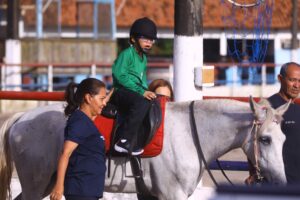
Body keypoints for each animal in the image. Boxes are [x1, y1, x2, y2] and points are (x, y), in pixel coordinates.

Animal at [0, 98, 290, 200]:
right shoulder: (171, 195)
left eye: (283, 138)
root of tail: (22, 118)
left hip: (46, 184)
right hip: (36, 185)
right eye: (265, 139)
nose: (281, 181)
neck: (190, 132)